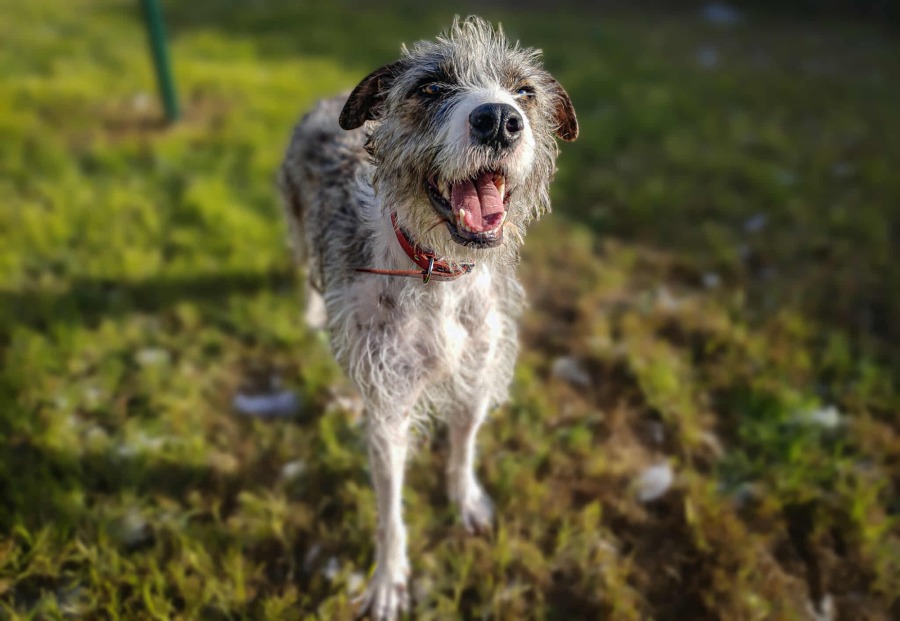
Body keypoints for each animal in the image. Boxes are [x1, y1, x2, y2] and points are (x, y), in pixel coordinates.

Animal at [278, 16, 577, 620]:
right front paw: (389, 579)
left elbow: (463, 449)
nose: (499, 119)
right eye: (431, 87)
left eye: (524, 92)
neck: (438, 275)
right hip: (298, 231)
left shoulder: (476, 376)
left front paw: (467, 501)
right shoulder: (389, 406)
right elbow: (390, 508)